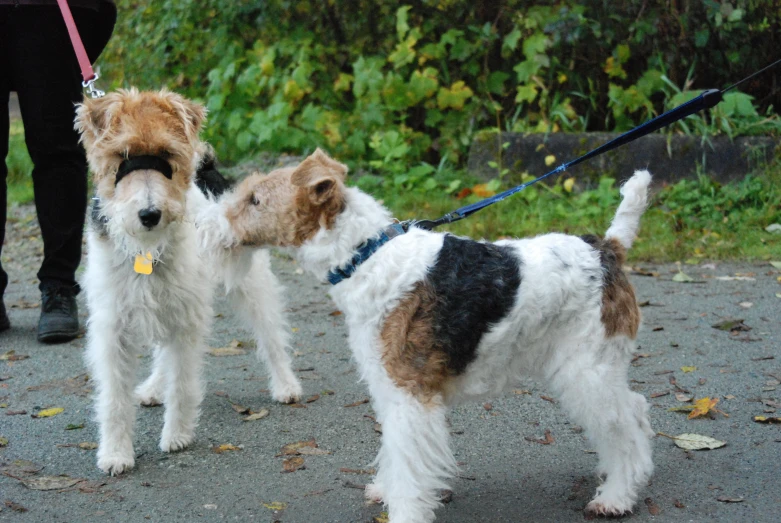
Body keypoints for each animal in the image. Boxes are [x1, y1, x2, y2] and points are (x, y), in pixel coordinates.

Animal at [75, 89, 302, 474]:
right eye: (122, 156)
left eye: (167, 154)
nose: (149, 214)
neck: (148, 249)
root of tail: (207, 168)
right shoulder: (113, 325)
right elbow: (114, 399)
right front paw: (116, 454)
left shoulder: (186, 318)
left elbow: (182, 384)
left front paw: (177, 436)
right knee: (162, 356)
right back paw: (152, 389)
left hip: (250, 286)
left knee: (272, 338)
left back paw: (286, 385)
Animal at [198, 149, 656, 520]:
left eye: (255, 200)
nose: (205, 228)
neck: (366, 256)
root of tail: (607, 249)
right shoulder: (387, 386)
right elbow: (393, 453)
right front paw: (385, 489)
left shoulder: (409, 393)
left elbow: (409, 463)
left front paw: (404, 511)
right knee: (633, 413)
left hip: (587, 369)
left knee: (627, 424)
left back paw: (615, 498)